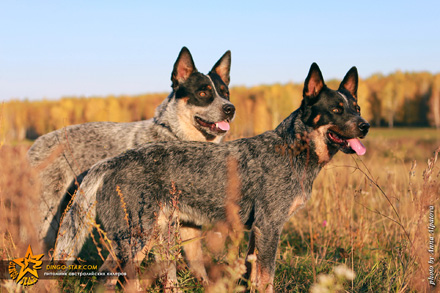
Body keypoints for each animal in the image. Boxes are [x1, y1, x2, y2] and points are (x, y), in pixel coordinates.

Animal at [53, 62, 370, 290]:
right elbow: (266, 280)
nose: (365, 125)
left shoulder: (257, 232)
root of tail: (111, 162)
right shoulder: (269, 227)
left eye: (356, 108)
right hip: (135, 242)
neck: (293, 150)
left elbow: (252, 277)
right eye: (336, 109)